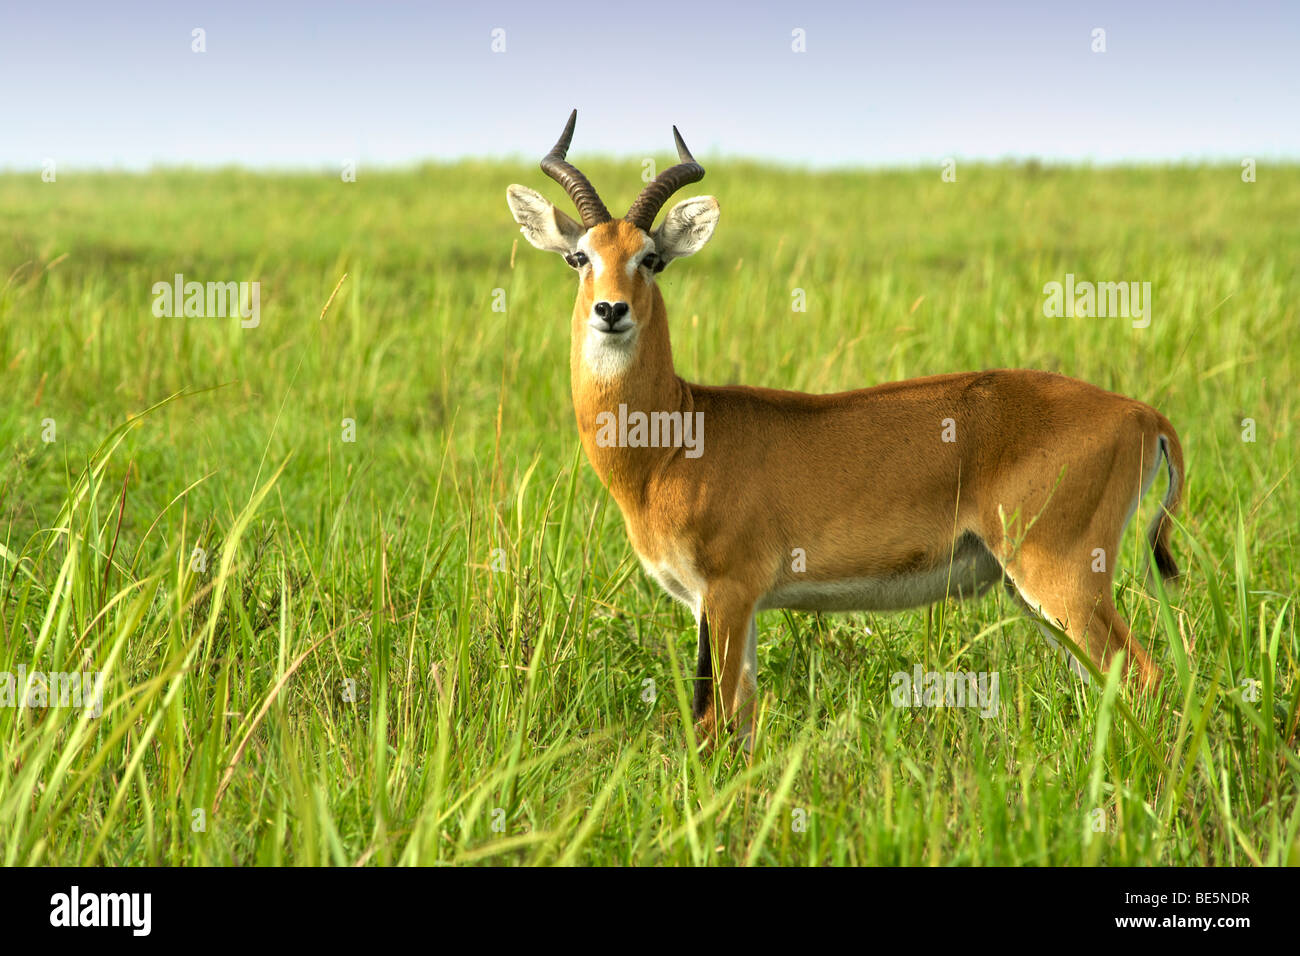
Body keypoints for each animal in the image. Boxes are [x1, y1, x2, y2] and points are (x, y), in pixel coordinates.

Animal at [506, 111, 1190, 749]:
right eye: (579, 256)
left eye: (650, 258)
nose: (610, 309)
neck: (674, 439)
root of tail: (1141, 413)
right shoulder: (732, 605)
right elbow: (742, 721)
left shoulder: (726, 593)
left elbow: (713, 722)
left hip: (1062, 576)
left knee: (1144, 674)